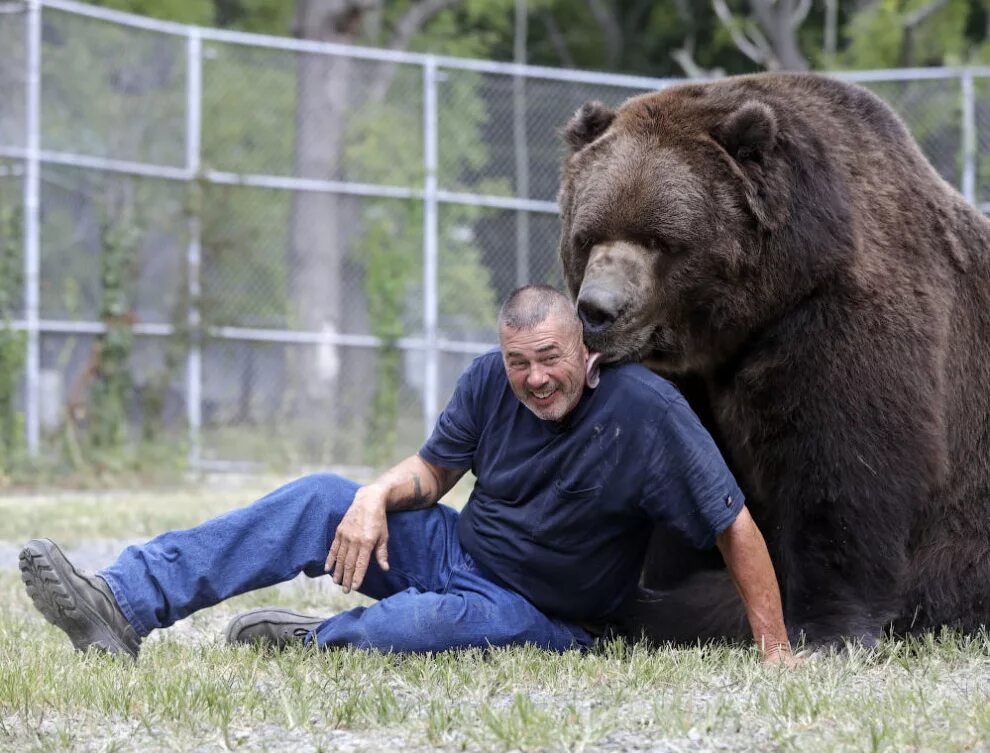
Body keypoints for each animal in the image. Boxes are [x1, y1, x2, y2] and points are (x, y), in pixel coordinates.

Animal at [560, 72, 990, 648]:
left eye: (661, 239)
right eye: (588, 235)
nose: (597, 311)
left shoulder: (836, 315)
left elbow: (845, 465)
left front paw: (826, 627)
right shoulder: (688, 379)